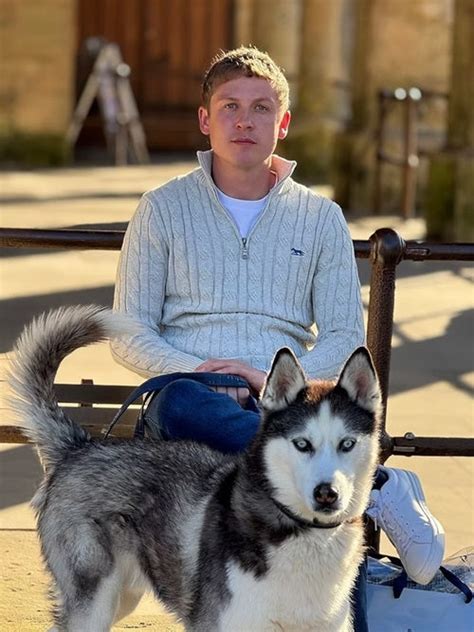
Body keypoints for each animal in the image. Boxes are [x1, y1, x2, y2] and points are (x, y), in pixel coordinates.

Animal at [8, 305, 382, 631]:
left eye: (347, 443)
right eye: (302, 444)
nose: (327, 494)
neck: (301, 532)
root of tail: (80, 446)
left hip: (122, 597)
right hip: (95, 601)